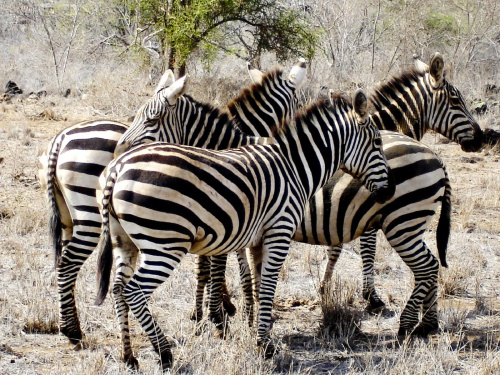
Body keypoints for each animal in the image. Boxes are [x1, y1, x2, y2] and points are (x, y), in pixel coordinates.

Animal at [38, 60, 304, 348]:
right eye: (299, 103)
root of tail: (61, 138)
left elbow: (215, 263)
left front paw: (219, 311)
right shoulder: (226, 212)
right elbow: (217, 265)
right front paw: (220, 316)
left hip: (68, 217)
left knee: (63, 262)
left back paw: (70, 326)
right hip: (92, 217)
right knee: (69, 264)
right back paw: (73, 332)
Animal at [94, 91, 394, 370]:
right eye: (377, 142)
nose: (389, 192)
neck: (294, 169)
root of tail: (118, 167)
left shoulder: (255, 239)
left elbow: (258, 282)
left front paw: (259, 329)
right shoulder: (279, 232)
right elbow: (267, 283)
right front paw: (263, 344)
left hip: (125, 241)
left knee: (119, 290)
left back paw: (129, 356)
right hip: (165, 243)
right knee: (135, 291)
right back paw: (164, 353)